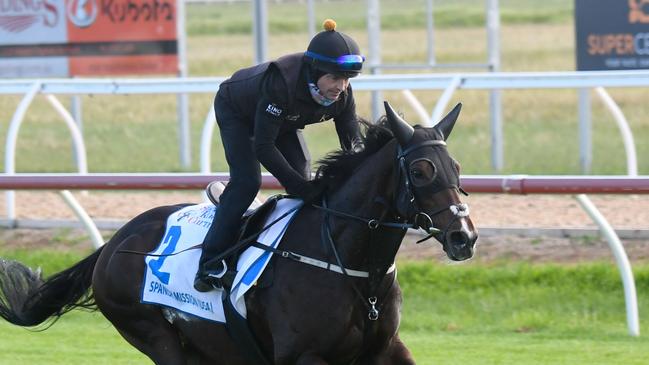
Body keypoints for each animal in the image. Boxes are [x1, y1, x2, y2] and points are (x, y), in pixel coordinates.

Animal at [0, 101, 476, 364]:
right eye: (421, 170)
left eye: (456, 167)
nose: (464, 237)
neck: (350, 263)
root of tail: (113, 244)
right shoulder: (303, 355)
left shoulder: (386, 349)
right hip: (154, 335)